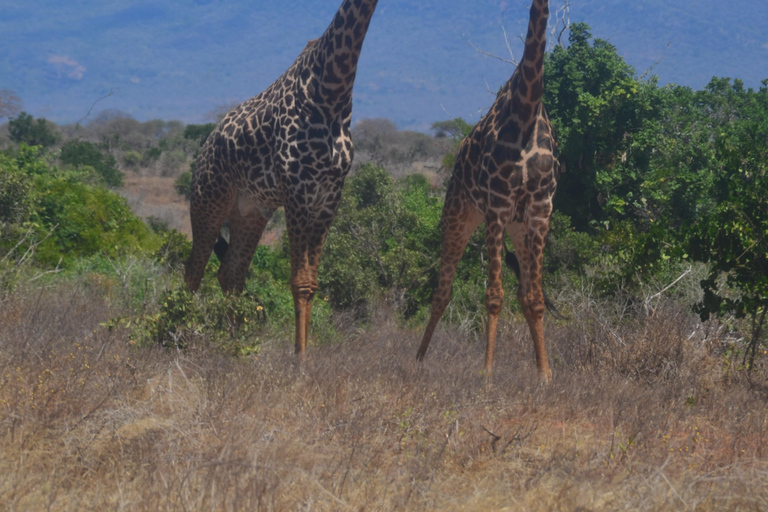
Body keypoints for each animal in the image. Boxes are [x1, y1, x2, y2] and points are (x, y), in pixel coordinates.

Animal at [186, 0, 378, 356]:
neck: (333, 89)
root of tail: (204, 148)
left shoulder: (330, 195)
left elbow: (312, 283)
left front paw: (305, 358)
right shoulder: (297, 190)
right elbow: (299, 282)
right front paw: (299, 361)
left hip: (250, 212)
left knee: (230, 273)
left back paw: (235, 347)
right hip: (208, 201)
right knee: (194, 269)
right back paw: (181, 333)